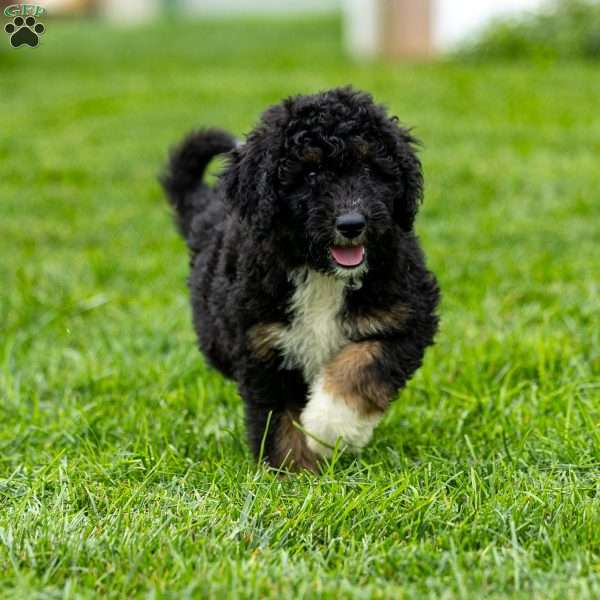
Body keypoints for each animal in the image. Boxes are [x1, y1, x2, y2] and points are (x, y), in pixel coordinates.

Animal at [162, 88, 438, 474]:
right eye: (309, 172)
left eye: (370, 168)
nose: (351, 224)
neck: (322, 273)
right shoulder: (263, 344)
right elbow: (279, 417)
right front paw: (293, 472)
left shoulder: (406, 316)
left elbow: (361, 367)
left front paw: (328, 428)